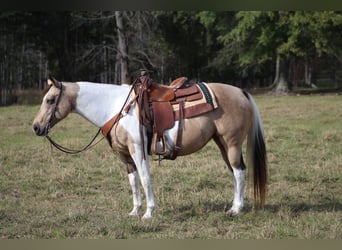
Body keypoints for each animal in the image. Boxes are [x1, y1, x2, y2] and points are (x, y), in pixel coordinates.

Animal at [32, 76, 268, 219]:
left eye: (50, 100)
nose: (36, 127)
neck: (115, 107)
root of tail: (242, 92)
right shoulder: (124, 155)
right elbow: (134, 182)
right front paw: (134, 211)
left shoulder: (138, 150)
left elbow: (145, 179)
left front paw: (148, 212)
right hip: (222, 144)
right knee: (234, 173)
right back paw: (234, 205)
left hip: (232, 144)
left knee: (239, 172)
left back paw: (236, 209)